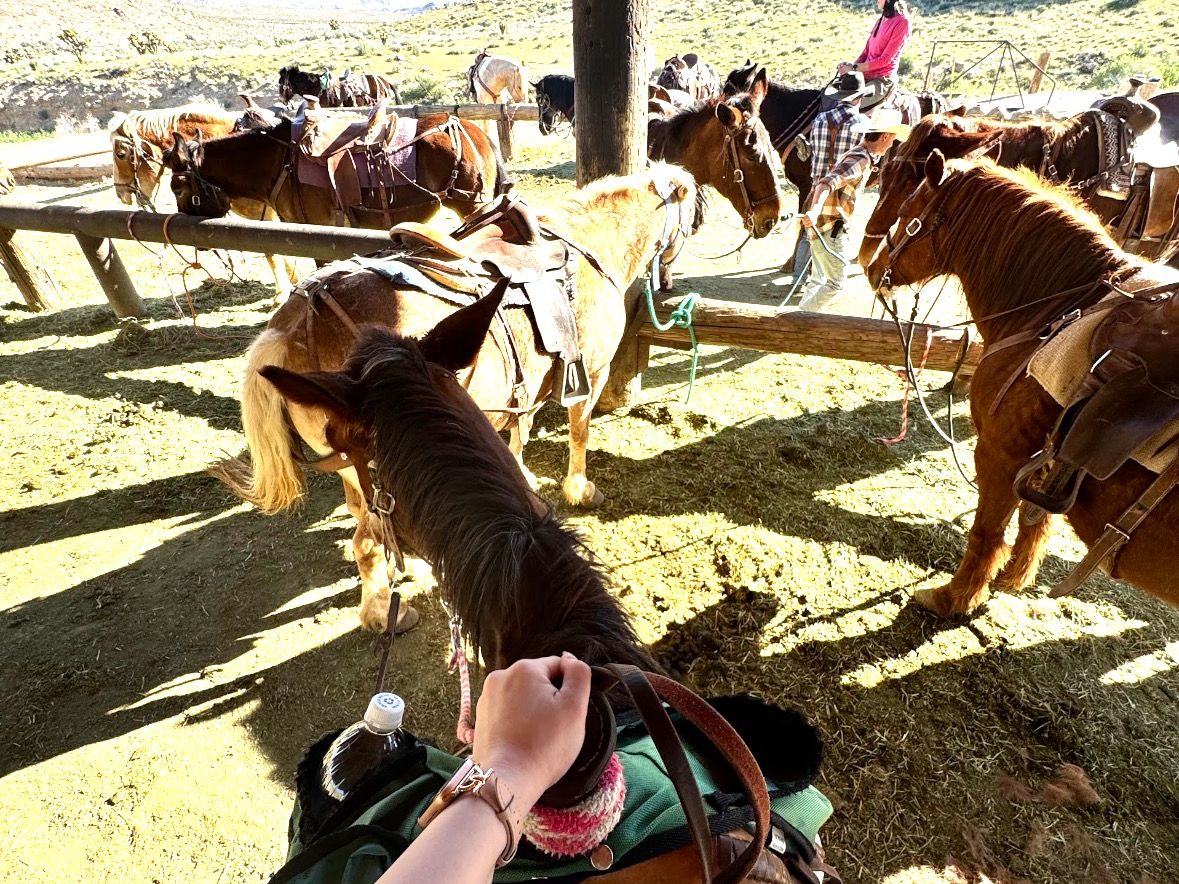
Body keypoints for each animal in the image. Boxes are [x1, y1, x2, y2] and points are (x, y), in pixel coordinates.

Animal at [162, 114, 507, 231]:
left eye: (177, 187)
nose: (182, 218)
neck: (280, 163)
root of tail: (475, 132)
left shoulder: (315, 225)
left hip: (471, 207)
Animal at [210, 164, 700, 630]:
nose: (671, 281)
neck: (586, 245)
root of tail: (293, 323)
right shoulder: (591, 375)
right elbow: (579, 434)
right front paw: (579, 490)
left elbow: (518, 436)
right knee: (368, 541)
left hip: (357, 473)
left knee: (369, 534)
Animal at [866, 154, 1179, 614]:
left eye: (908, 213)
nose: (872, 267)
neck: (1053, 317)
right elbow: (1036, 521)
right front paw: (1014, 576)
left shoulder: (999, 454)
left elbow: (987, 532)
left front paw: (955, 597)